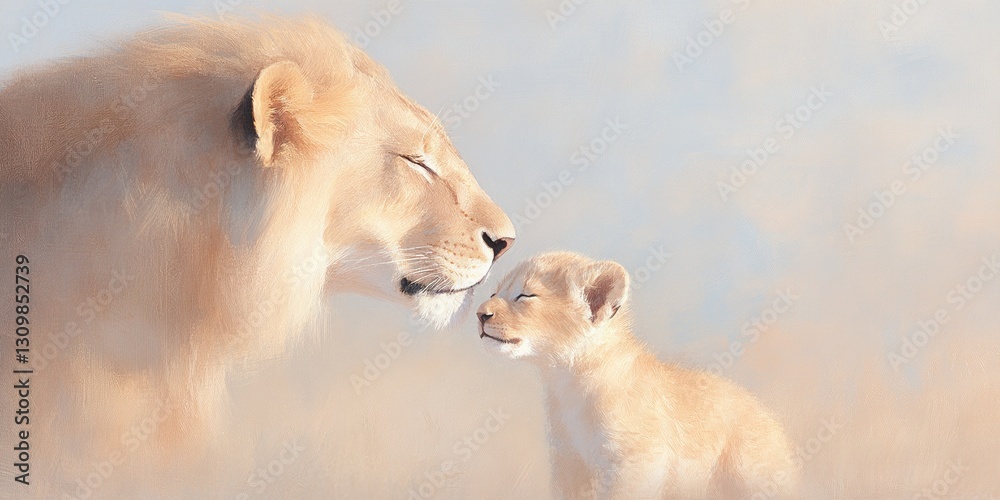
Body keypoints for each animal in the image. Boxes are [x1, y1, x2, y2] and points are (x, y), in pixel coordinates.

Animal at [476, 252, 798, 499]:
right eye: (494, 292)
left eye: (525, 295)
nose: (480, 314)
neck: (567, 385)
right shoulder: (572, 463)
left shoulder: (640, 460)